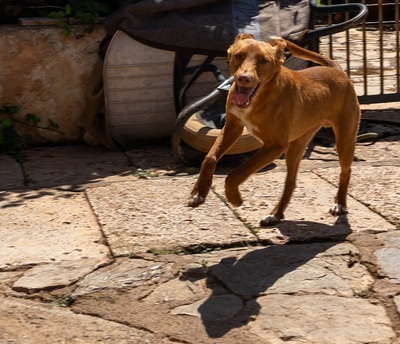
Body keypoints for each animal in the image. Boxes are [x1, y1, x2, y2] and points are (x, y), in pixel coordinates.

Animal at [188, 33, 360, 224]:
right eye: (239, 55)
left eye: (264, 60)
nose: (244, 78)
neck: (259, 98)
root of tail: (338, 71)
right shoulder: (233, 127)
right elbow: (209, 158)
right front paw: (199, 192)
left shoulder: (275, 146)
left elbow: (237, 173)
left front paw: (234, 197)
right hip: (296, 146)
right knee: (291, 182)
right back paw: (276, 214)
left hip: (344, 139)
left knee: (346, 171)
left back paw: (340, 204)